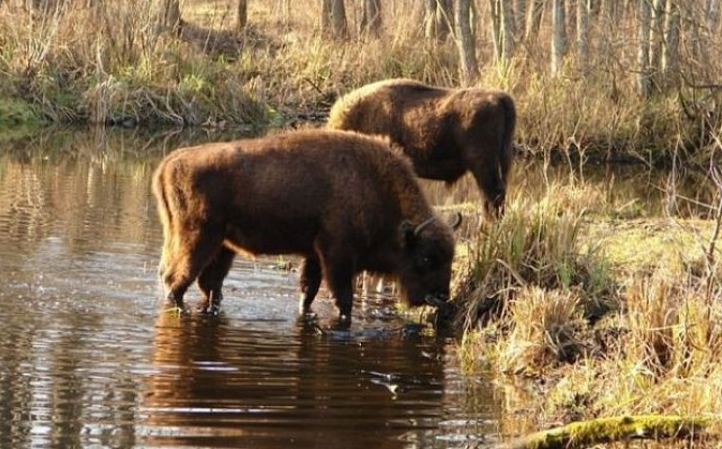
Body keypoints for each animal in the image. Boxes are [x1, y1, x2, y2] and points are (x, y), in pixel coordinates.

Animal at [153, 129, 458, 322]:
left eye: (450, 258)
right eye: (427, 258)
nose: (442, 296)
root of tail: (169, 162)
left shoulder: (314, 253)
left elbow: (308, 290)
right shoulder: (337, 254)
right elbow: (341, 297)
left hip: (222, 246)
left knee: (208, 284)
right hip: (197, 240)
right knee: (176, 280)